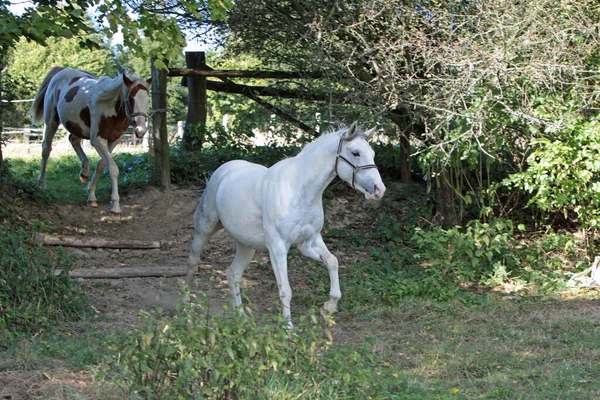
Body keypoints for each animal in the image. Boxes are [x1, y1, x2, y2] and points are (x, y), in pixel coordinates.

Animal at [30, 66, 152, 217]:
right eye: (130, 99)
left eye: (148, 100)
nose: (141, 130)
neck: (109, 107)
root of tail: (61, 70)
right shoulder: (97, 140)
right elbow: (113, 168)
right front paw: (115, 206)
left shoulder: (114, 140)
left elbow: (101, 164)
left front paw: (91, 195)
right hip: (51, 122)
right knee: (46, 149)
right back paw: (41, 184)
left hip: (78, 126)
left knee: (73, 140)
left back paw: (84, 172)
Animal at [185, 123, 386, 326]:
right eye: (355, 153)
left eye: (373, 153)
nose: (379, 189)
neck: (299, 191)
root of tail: (223, 170)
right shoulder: (278, 247)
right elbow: (285, 290)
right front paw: (288, 328)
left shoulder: (310, 241)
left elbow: (332, 262)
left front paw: (328, 307)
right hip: (204, 230)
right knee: (193, 262)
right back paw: (186, 306)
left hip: (246, 245)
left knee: (233, 274)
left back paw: (241, 317)